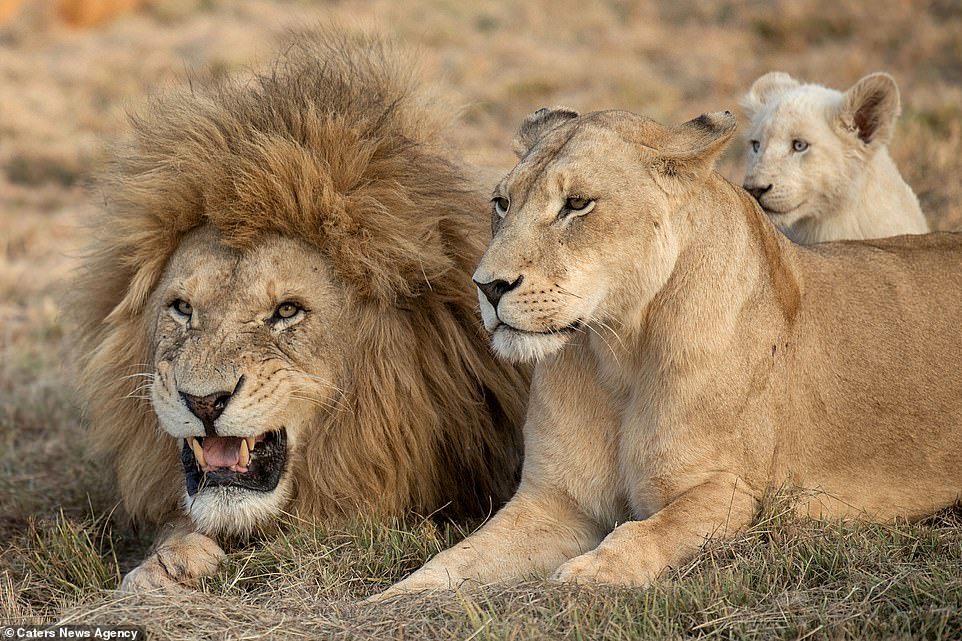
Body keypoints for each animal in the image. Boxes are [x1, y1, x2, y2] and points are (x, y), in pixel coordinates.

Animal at [374, 106, 960, 596]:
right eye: (502, 203)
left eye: (577, 204)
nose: (488, 286)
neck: (617, 354)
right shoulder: (553, 502)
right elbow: (457, 559)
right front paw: (395, 598)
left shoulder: (728, 490)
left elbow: (643, 533)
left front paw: (587, 574)